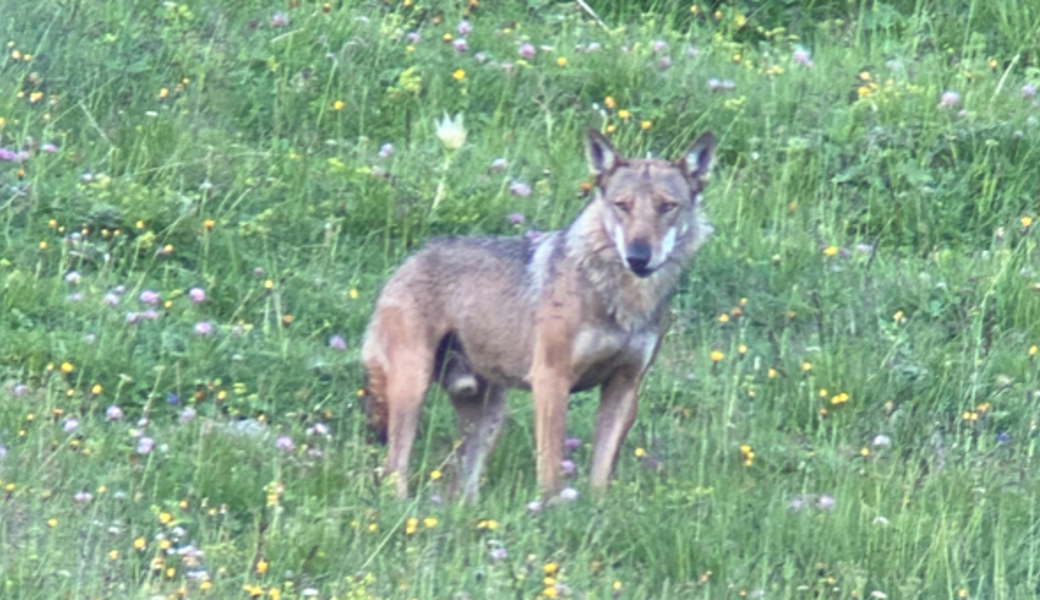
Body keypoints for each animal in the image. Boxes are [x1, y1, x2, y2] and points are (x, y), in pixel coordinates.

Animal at [364, 128, 715, 499]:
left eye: (667, 207)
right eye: (622, 205)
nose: (637, 257)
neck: (621, 297)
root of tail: (406, 263)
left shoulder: (625, 386)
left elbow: (600, 475)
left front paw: (596, 509)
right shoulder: (551, 379)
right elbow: (550, 469)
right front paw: (551, 509)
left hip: (487, 416)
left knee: (463, 489)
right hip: (413, 389)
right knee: (394, 470)